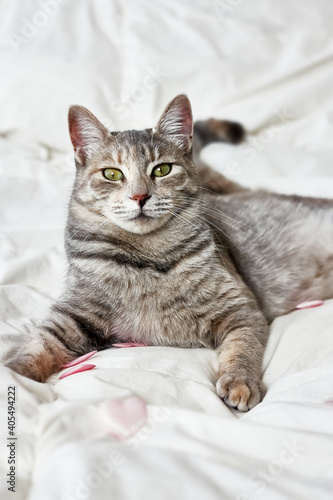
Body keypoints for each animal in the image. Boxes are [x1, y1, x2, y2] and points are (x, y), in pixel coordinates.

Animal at [5, 95, 332, 412]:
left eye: (162, 169)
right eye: (112, 174)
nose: (139, 196)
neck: (147, 257)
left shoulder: (241, 309)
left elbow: (242, 349)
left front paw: (240, 382)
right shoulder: (72, 316)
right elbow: (37, 346)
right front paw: (15, 376)